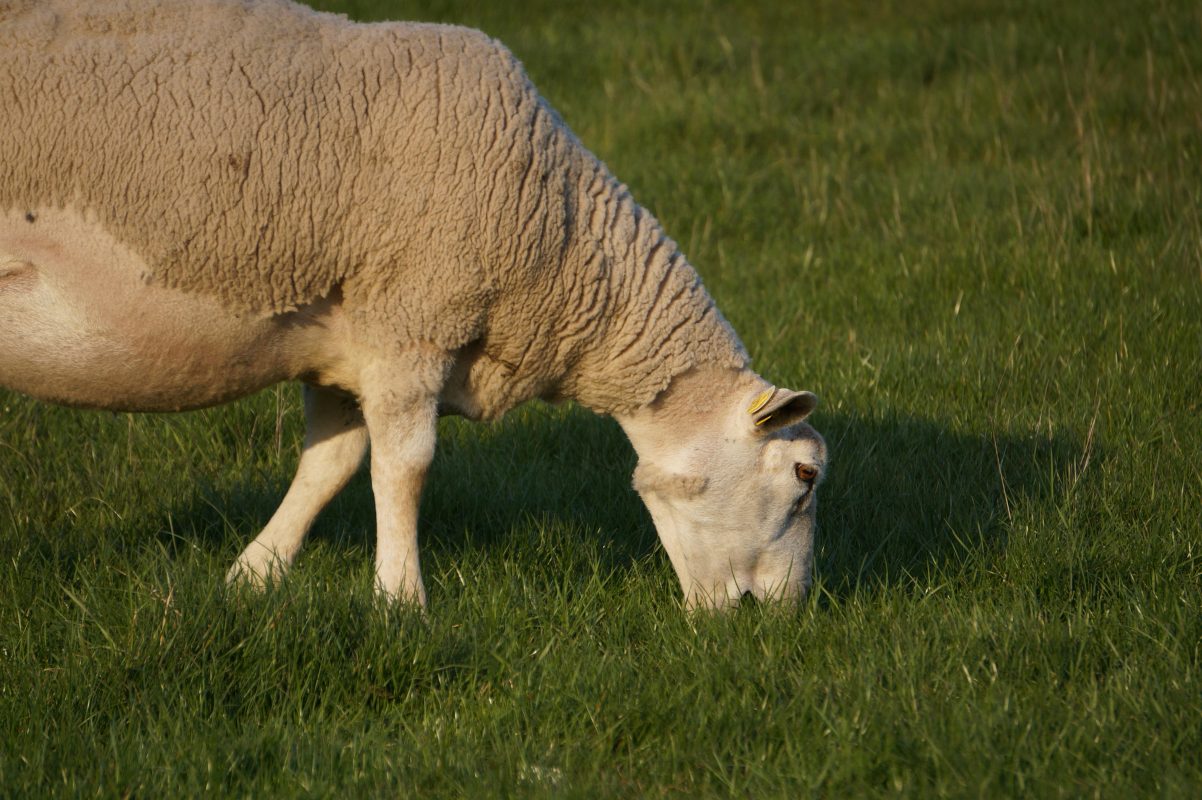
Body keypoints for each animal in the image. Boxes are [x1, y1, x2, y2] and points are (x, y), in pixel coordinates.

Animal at [0, 0, 827, 609]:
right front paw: (402, 601)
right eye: (805, 477)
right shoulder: (414, 320)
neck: (561, 238)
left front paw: (254, 575)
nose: (779, 620)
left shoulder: (347, 341)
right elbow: (405, 468)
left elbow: (331, 464)